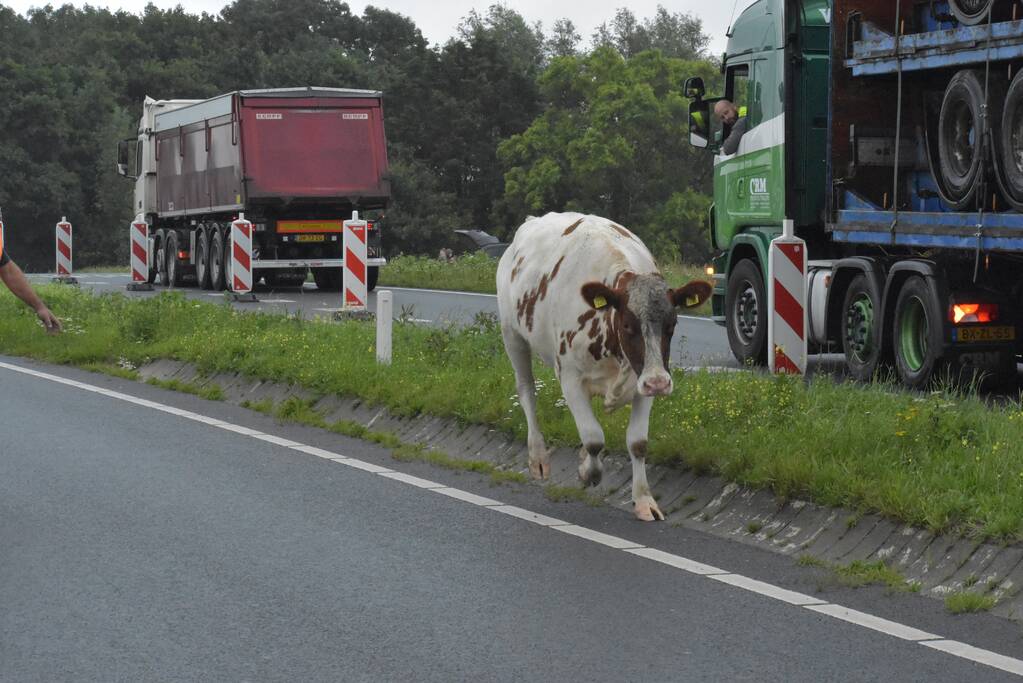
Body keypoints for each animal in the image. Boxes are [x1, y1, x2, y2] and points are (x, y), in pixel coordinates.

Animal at [496, 212, 712, 521]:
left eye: (672, 324)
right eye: (628, 325)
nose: (659, 383)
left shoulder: (641, 378)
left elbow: (638, 442)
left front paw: (644, 500)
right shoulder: (570, 378)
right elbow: (593, 438)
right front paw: (589, 473)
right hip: (512, 335)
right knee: (527, 392)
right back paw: (538, 457)